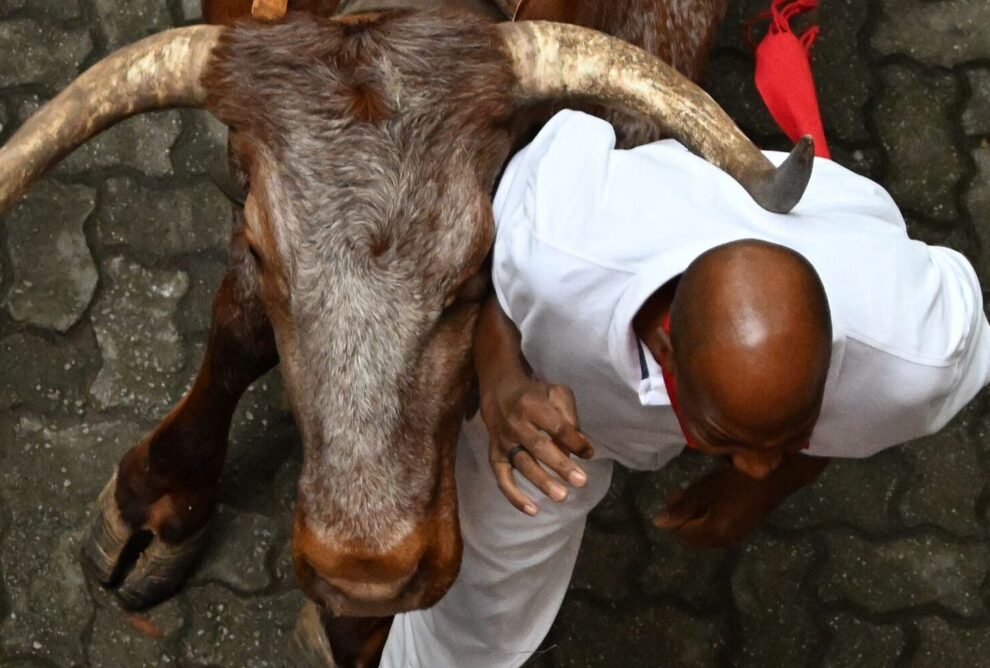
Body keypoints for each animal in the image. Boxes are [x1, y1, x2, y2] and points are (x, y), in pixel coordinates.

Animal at [0, 0, 812, 664]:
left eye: (480, 268)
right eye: (261, 251)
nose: (366, 571)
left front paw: (354, 629)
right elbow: (239, 327)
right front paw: (161, 495)